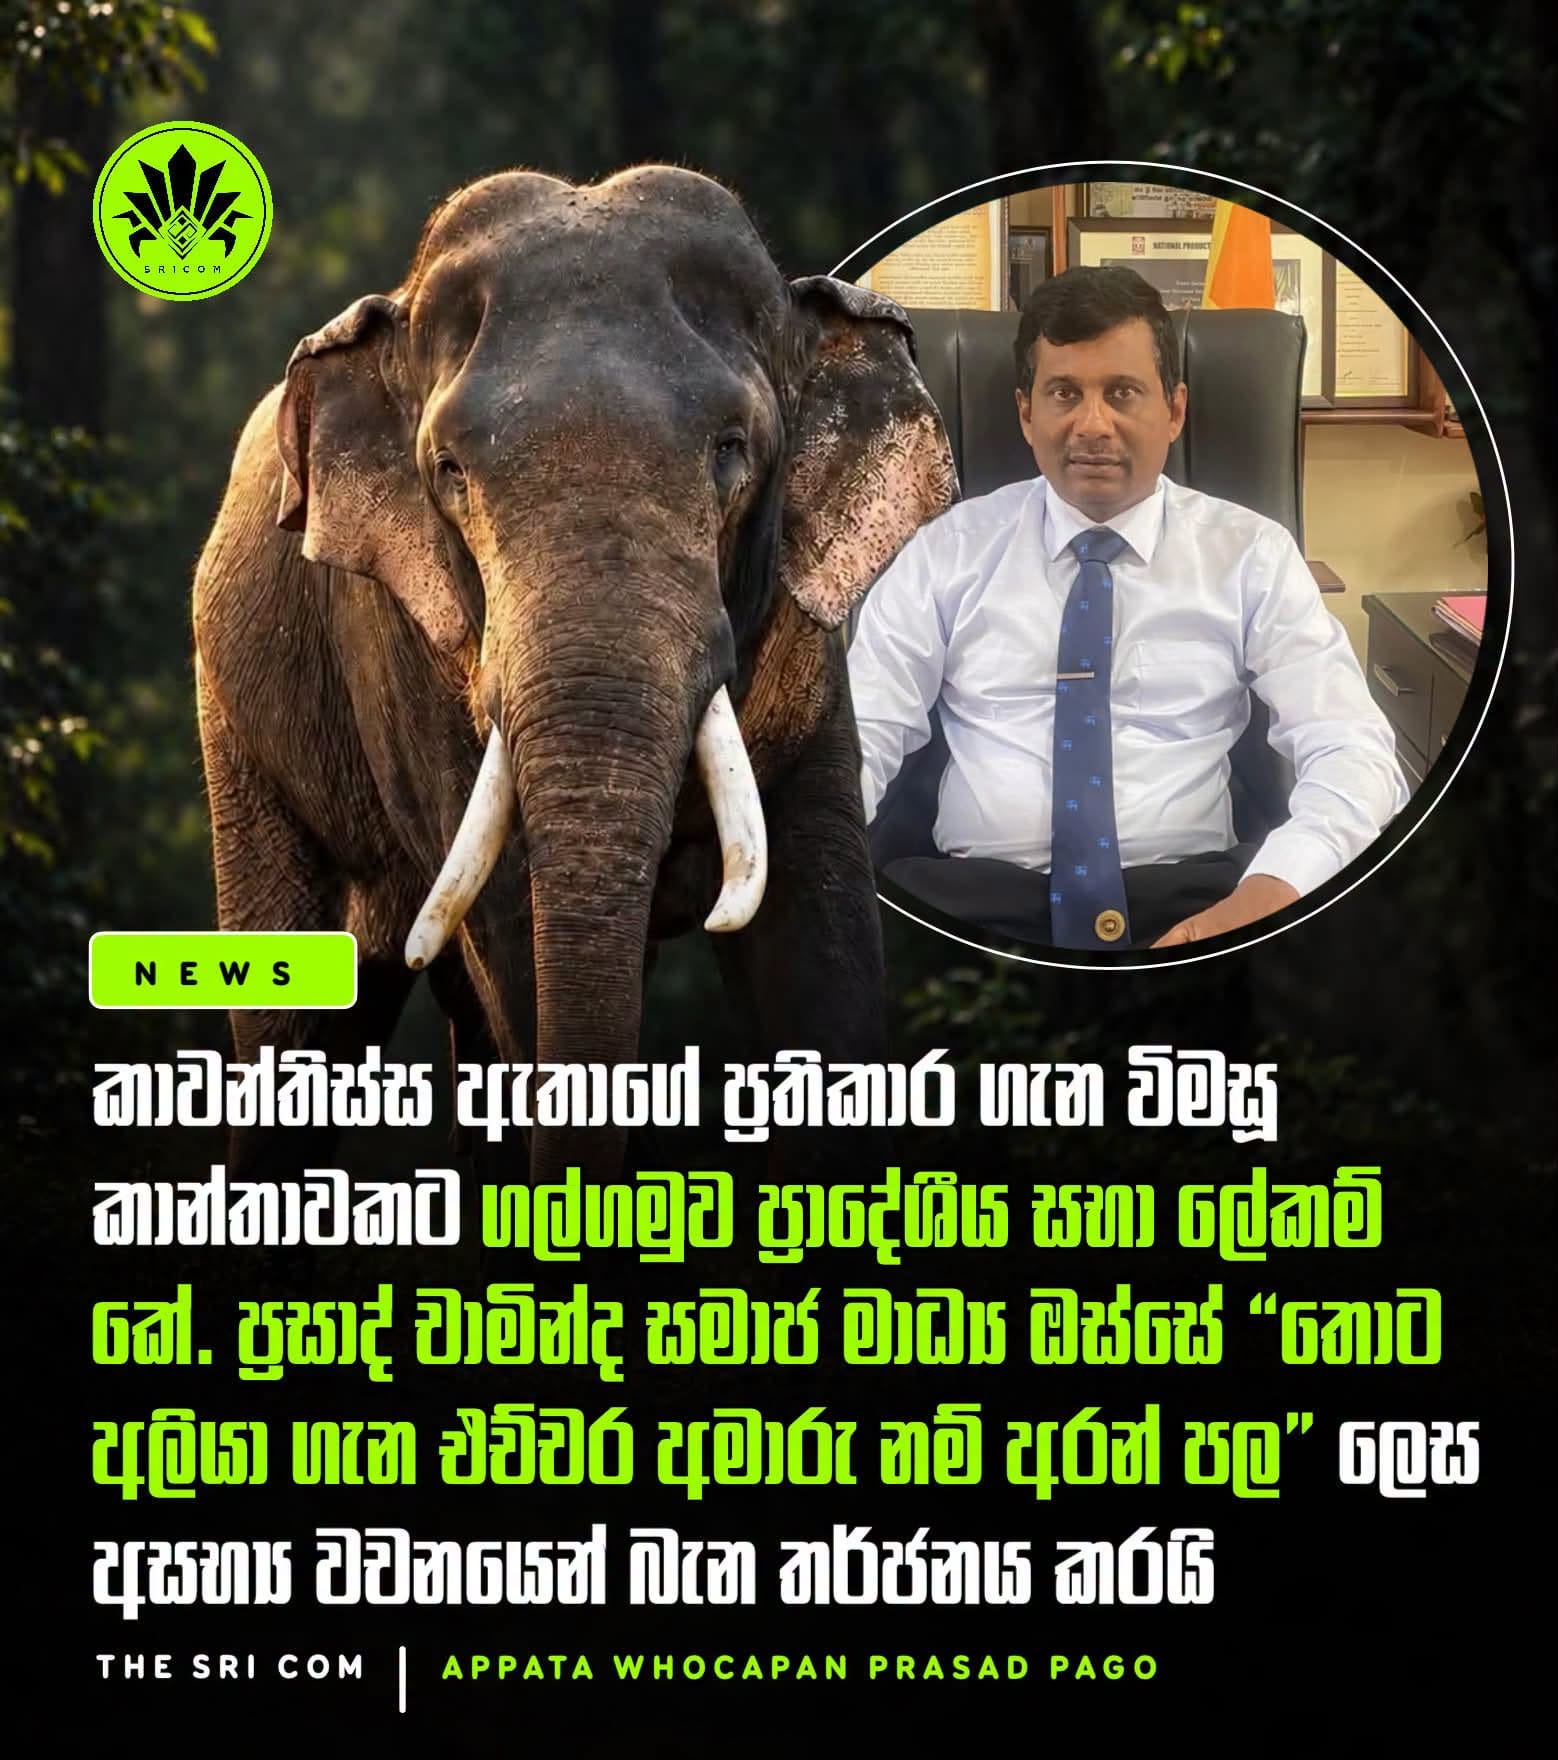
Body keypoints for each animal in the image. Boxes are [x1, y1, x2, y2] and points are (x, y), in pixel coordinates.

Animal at [191, 165, 957, 1182]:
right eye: (449, 469)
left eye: (732, 449)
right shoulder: (404, 653)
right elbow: (512, 929)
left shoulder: (811, 663)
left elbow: (818, 943)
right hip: (241, 737)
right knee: (303, 1020)